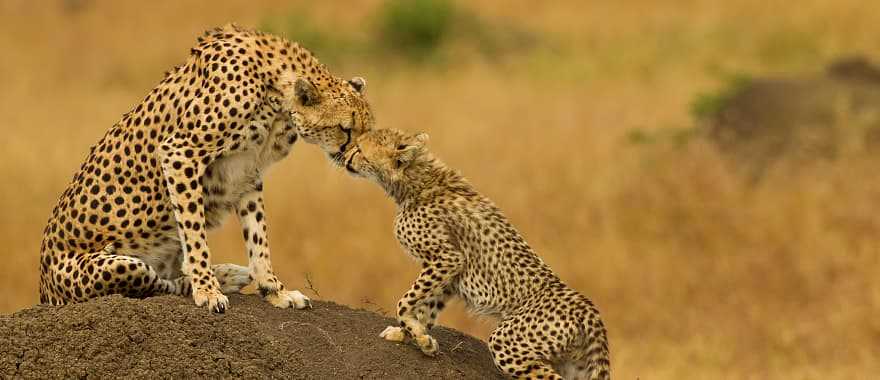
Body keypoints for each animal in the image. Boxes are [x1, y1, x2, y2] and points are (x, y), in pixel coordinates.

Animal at [38, 23, 374, 314]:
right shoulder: (180, 153)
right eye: (345, 130)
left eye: (367, 129)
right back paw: (218, 278)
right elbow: (194, 231)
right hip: (117, 266)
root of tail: (44, 292)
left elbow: (259, 237)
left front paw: (274, 290)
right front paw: (208, 290)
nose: (356, 160)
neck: (275, 91)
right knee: (155, 282)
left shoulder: (246, 171)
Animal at [344, 129, 612, 378]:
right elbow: (426, 307)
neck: (418, 181)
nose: (345, 156)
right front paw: (415, 337)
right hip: (573, 364)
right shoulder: (449, 274)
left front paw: (414, 332)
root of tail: (587, 309)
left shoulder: (447, 258)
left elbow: (404, 302)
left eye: (359, 149)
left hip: (507, 343)